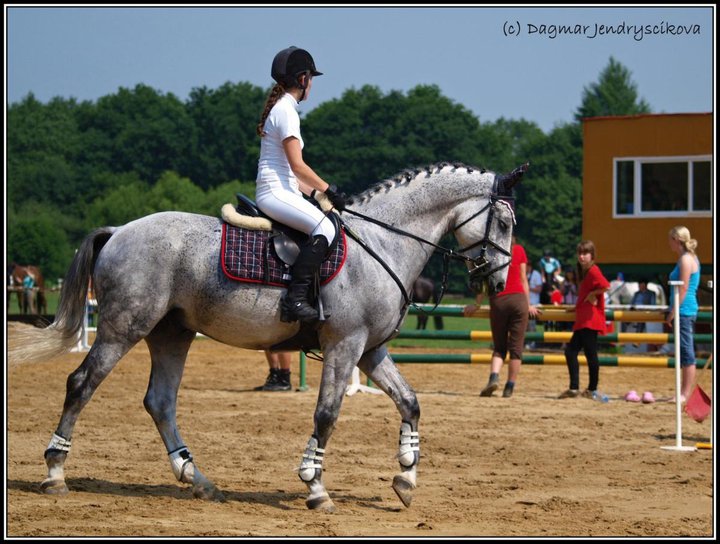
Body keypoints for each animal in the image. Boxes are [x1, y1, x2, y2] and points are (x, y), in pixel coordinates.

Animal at [7, 160, 528, 510]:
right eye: (503, 222)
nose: (500, 281)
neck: (383, 242)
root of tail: (119, 231)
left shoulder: (371, 351)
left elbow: (411, 402)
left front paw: (406, 479)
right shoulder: (345, 347)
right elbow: (327, 414)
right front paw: (315, 487)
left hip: (171, 334)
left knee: (160, 402)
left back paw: (196, 478)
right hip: (123, 327)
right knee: (82, 384)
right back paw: (55, 473)